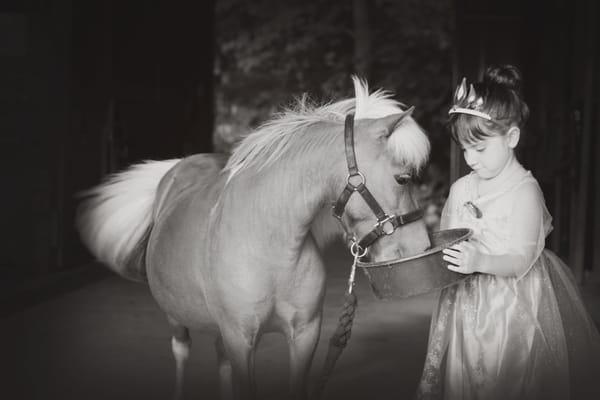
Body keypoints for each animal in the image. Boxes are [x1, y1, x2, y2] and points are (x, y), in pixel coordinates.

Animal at [77, 76, 428, 398]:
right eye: (403, 178)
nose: (422, 246)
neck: (270, 247)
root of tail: (178, 167)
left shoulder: (304, 334)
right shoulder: (241, 338)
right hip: (176, 317)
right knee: (181, 351)